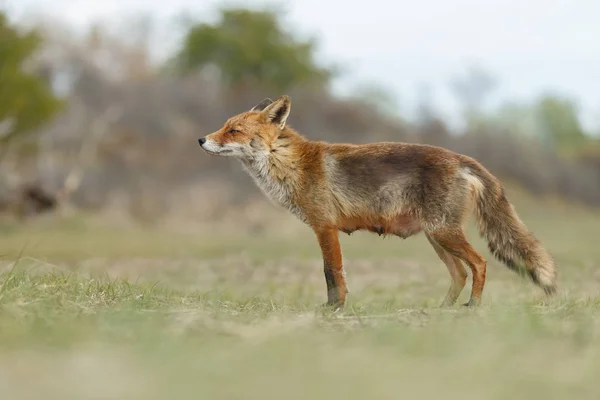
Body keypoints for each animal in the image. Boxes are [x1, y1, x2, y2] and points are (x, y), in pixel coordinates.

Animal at [200, 95, 556, 310]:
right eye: (223, 127)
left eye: (233, 131)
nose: (201, 140)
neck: (291, 164)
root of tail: (462, 158)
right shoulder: (324, 228)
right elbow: (332, 274)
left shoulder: (325, 227)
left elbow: (332, 273)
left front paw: (334, 309)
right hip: (437, 238)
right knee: (460, 273)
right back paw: (443, 310)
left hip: (444, 234)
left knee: (479, 264)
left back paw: (473, 307)